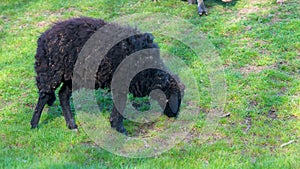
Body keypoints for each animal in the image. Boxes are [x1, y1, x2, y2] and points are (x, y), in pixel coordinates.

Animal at [31, 16, 185, 134]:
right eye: (172, 95)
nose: (175, 115)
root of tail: (43, 37)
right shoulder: (121, 83)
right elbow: (120, 105)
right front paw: (120, 129)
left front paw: (116, 126)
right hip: (51, 73)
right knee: (44, 97)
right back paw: (34, 124)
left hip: (74, 78)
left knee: (63, 95)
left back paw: (72, 125)